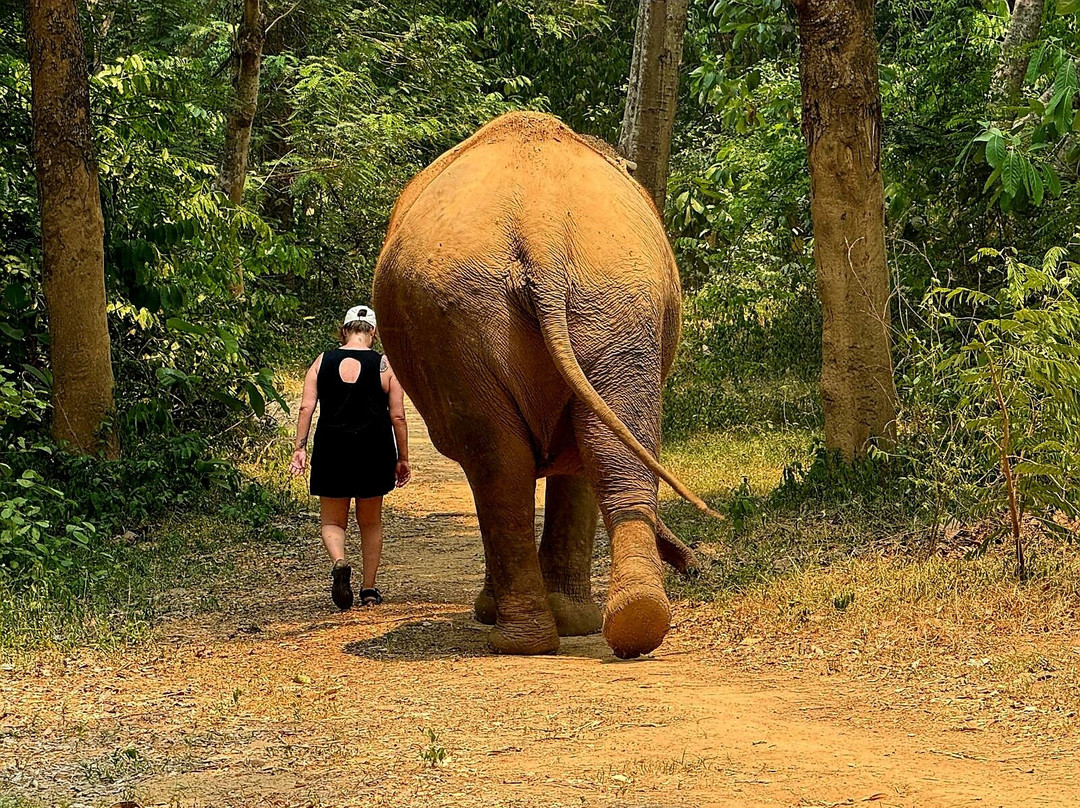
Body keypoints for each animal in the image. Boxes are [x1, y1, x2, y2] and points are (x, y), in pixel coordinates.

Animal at [373, 111, 715, 659]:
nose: (698, 565)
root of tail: (542, 231)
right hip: (595, 300)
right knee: (583, 448)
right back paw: (614, 622)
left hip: (553, 301)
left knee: (505, 464)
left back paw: (542, 633)